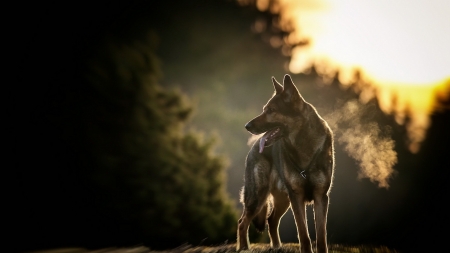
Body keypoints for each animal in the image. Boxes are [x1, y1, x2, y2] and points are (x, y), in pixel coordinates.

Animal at [239, 74, 334, 253]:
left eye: (271, 111)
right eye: (264, 109)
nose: (247, 126)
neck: (304, 146)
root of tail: (253, 148)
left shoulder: (320, 197)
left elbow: (321, 235)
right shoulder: (297, 197)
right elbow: (303, 234)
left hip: (283, 200)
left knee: (271, 220)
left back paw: (276, 247)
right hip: (258, 197)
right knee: (242, 222)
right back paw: (243, 248)